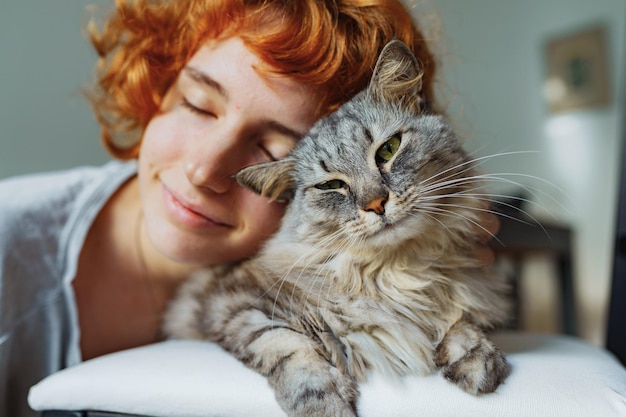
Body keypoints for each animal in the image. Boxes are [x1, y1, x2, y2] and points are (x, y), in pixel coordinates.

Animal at [163, 39, 510, 416]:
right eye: (331, 186)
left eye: (388, 149)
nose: (376, 203)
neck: (397, 272)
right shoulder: (230, 302)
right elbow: (286, 346)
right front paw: (322, 402)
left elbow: (461, 315)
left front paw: (476, 359)